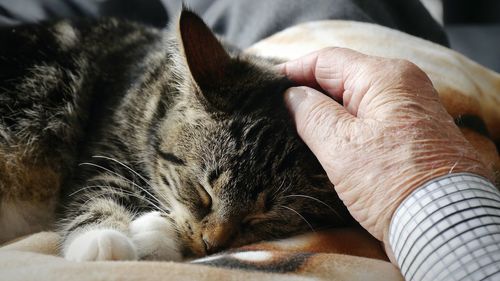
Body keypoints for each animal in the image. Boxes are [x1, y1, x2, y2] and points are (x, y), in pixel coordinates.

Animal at [0, 9, 352, 260]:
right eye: (202, 191)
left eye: (263, 215)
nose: (211, 244)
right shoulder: (103, 154)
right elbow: (98, 189)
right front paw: (103, 238)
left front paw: (154, 234)